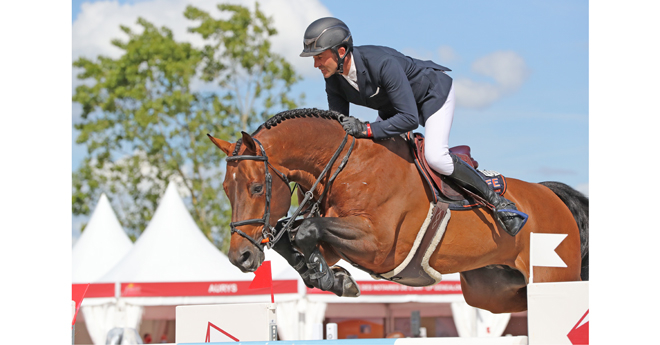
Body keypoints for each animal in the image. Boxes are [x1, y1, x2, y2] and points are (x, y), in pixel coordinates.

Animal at [210, 107, 588, 312]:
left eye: (257, 188)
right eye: (227, 190)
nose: (240, 257)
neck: (347, 166)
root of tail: (552, 196)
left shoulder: (378, 245)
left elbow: (306, 229)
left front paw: (332, 278)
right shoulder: (338, 243)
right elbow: (293, 238)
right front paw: (333, 279)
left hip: (551, 275)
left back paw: (508, 214)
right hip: (490, 291)